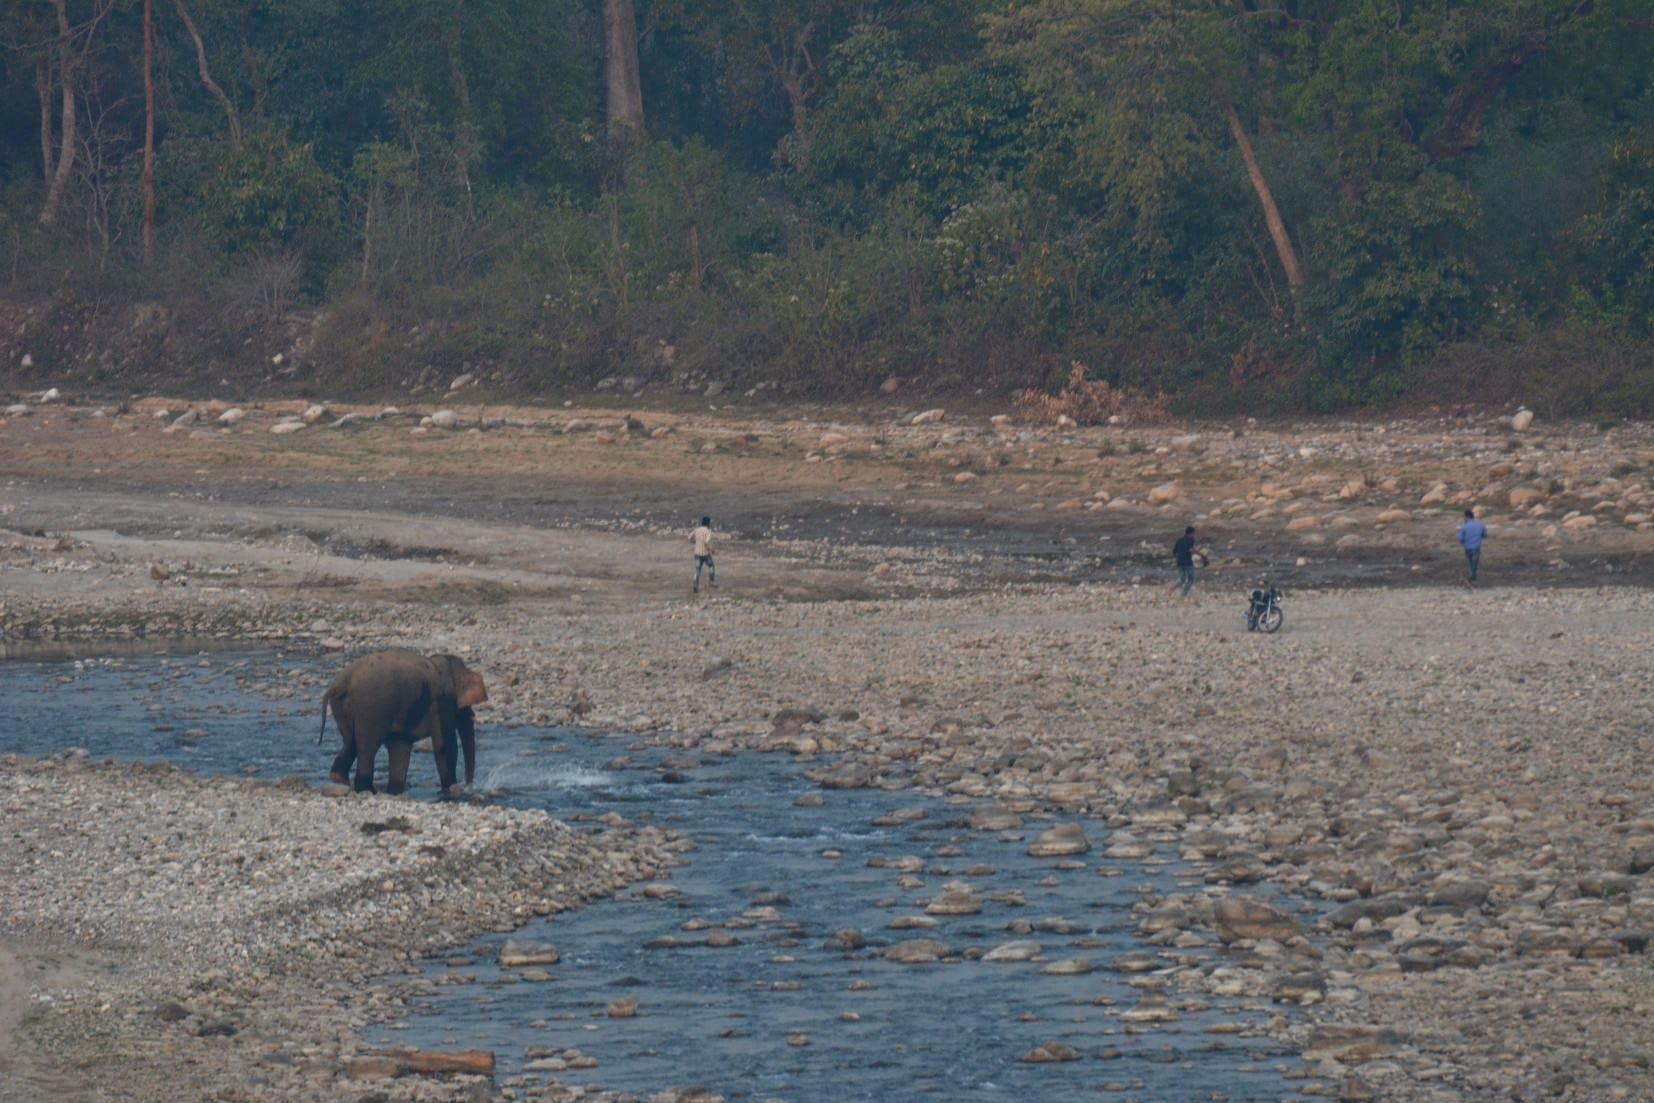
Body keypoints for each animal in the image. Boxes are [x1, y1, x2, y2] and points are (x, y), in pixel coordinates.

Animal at [317, 650, 487, 795]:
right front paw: (449, 789)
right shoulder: (441, 703)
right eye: (463, 707)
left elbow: (400, 745)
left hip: (342, 707)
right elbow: (444, 744)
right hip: (372, 708)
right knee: (367, 746)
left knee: (350, 740)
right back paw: (366, 789)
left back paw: (340, 779)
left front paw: (394, 790)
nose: (468, 786)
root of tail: (342, 682)